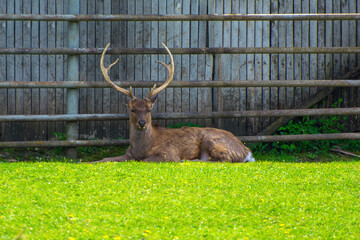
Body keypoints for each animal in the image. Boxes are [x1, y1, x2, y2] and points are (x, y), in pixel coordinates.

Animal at [91, 42, 256, 163]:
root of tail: (247, 152)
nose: (142, 122)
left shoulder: (168, 153)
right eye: (133, 109)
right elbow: (104, 159)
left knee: (223, 158)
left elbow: (146, 160)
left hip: (212, 140)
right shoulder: (128, 154)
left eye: (149, 109)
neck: (142, 148)